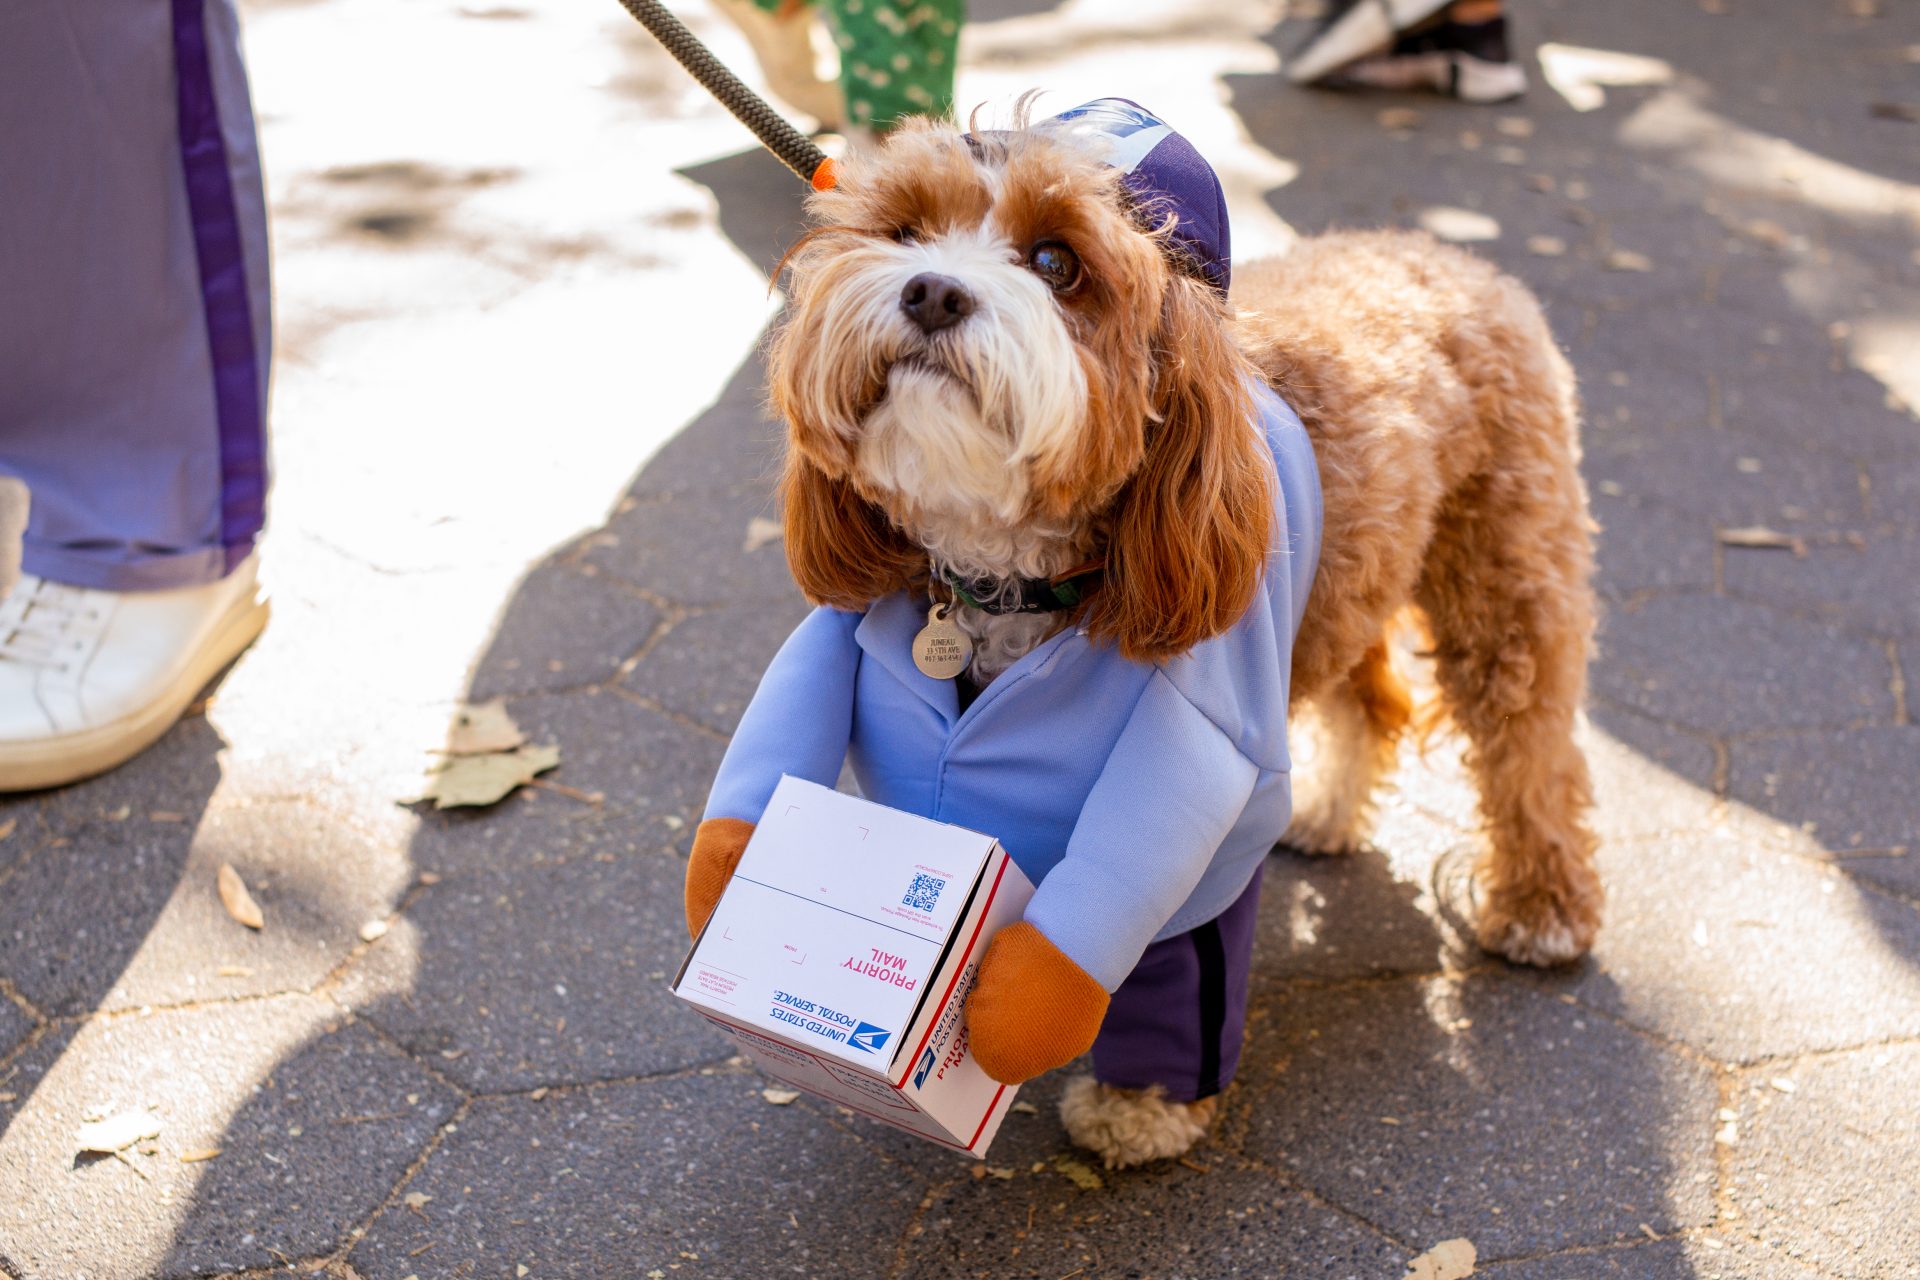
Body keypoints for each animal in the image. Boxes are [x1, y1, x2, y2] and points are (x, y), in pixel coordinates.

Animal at [683, 97, 1597, 1174]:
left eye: (1056, 260)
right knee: (1368, 692)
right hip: (1352, 573)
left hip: (1503, 578)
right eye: (904, 230)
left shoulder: (1206, 750)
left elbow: (1174, 940)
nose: (933, 290)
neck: (1007, 581)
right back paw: (1332, 811)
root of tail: (1452, 255)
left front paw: (1138, 1101)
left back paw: (1543, 907)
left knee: (1528, 745)